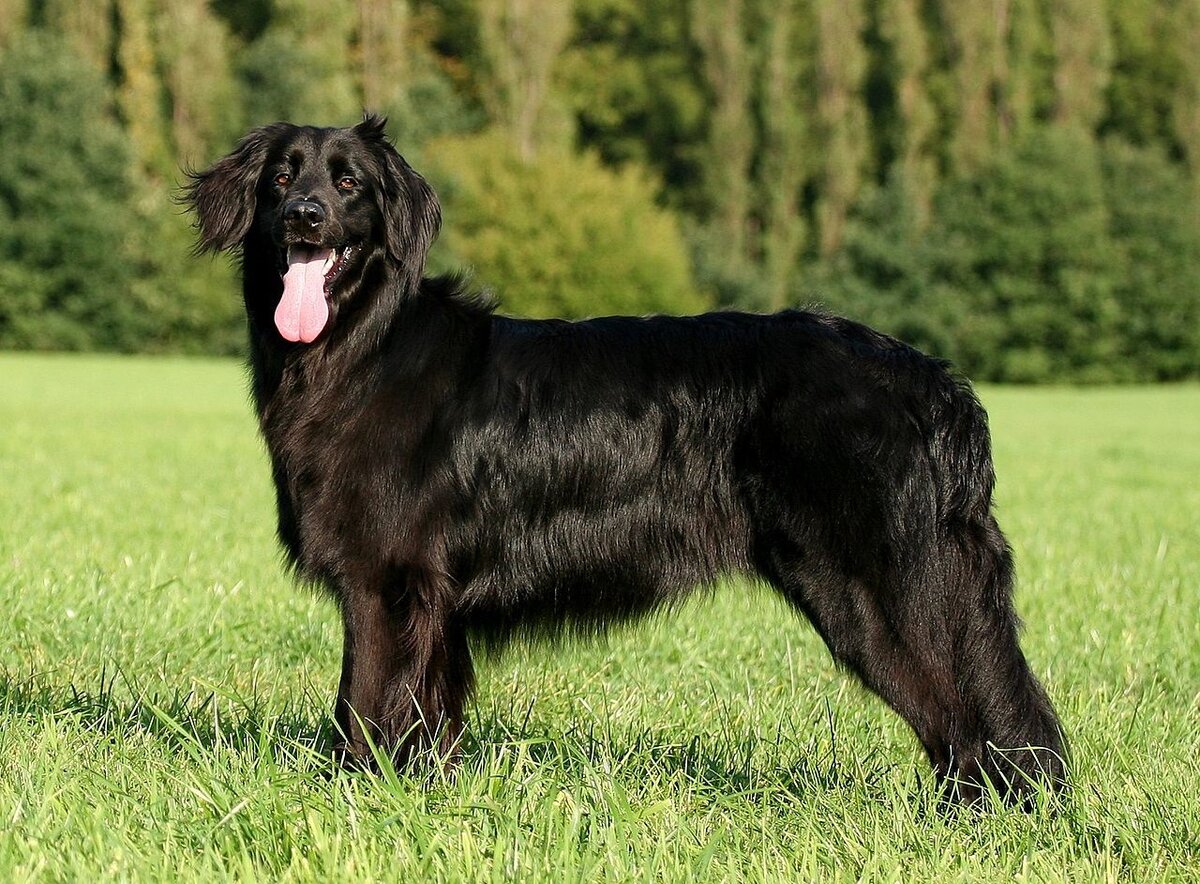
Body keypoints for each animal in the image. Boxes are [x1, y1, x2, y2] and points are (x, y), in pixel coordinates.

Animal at [182, 113, 1065, 801]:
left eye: (350, 185)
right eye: (282, 176)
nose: (304, 217)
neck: (361, 350)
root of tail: (935, 382)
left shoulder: (386, 584)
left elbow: (362, 707)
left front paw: (352, 801)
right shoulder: (434, 604)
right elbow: (426, 719)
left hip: (878, 589)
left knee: (968, 720)